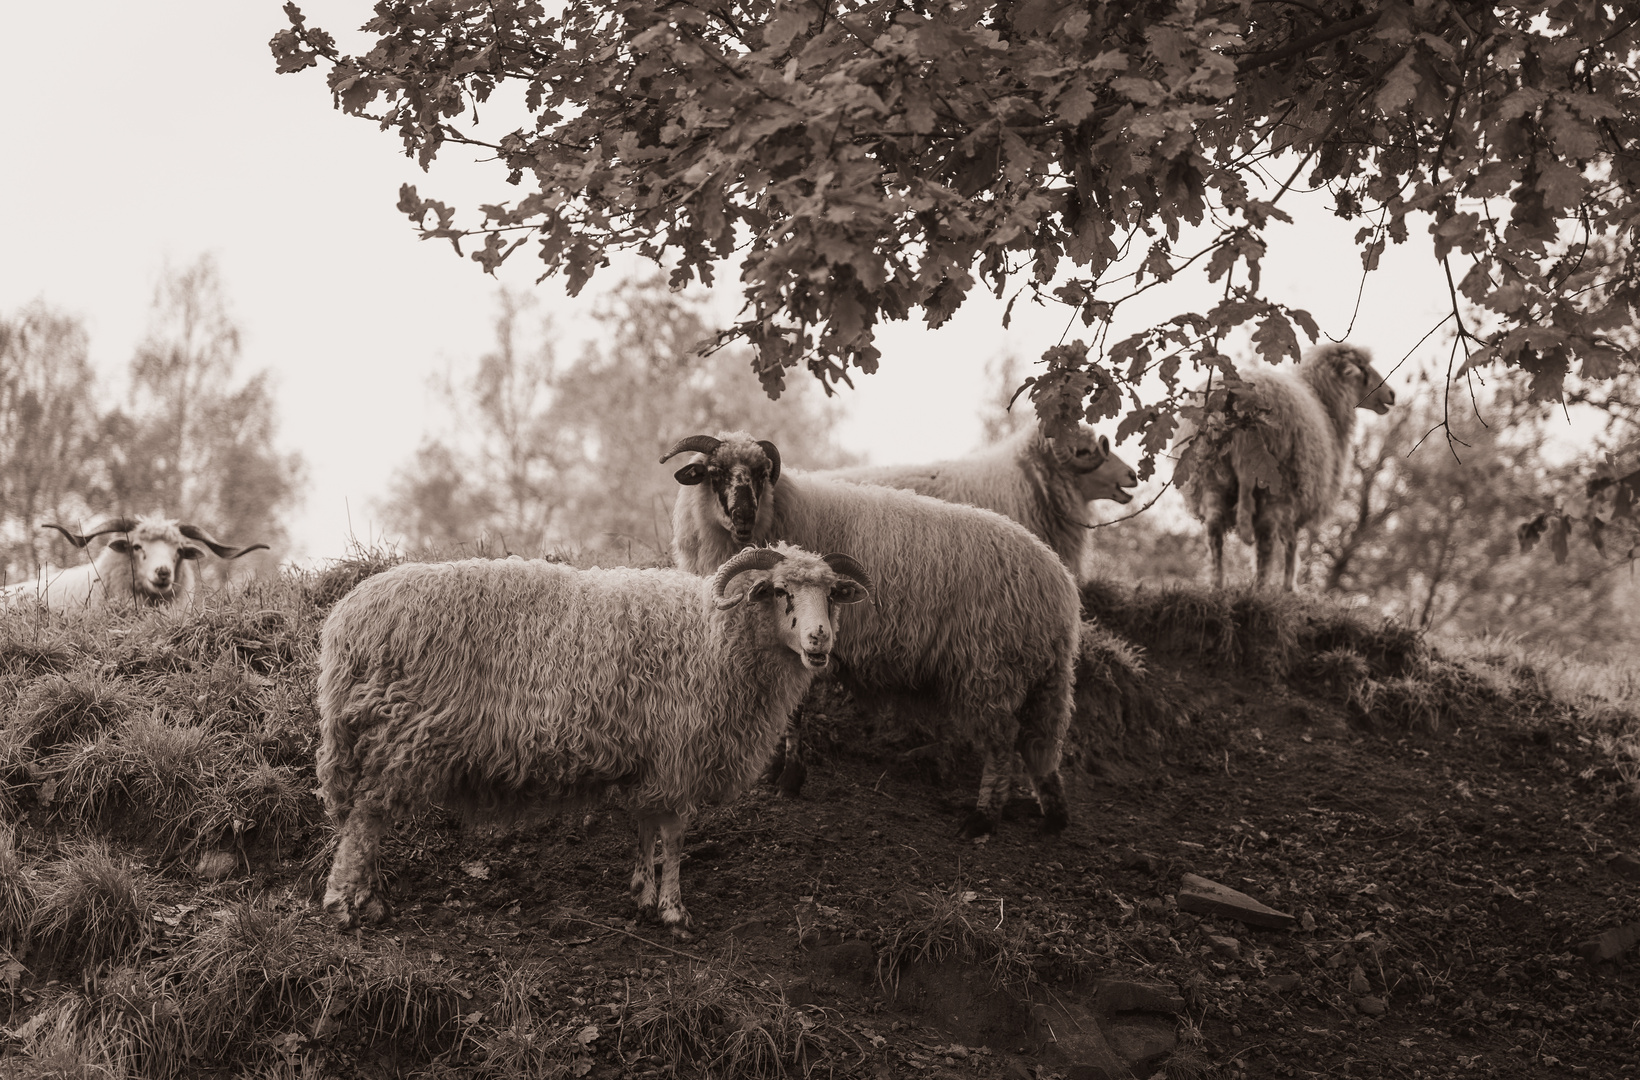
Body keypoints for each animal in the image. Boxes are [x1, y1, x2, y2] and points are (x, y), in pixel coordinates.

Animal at [321, 540, 885, 937]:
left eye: (831, 596)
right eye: (782, 592)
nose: (819, 639)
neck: (718, 638)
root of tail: (345, 620)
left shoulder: (653, 757)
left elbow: (645, 826)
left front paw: (642, 893)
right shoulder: (678, 752)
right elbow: (674, 836)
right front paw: (674, 912)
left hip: (381, 739)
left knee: (366, 820)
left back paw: (368, 899)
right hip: (398, 734)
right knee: (365, 821)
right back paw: (344, 906)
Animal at [659, 429, 1082, 835]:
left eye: (763, 473)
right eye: (714, 473)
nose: (744, 515)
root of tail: (1060, 586)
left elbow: (794, 711)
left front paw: (788, 777)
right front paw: (778, 771)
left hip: (991, 667)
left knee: (1002, 741)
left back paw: (983, 818)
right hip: (1037, 675)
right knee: (1039, 742)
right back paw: (1054, 816)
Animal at [1167, 342, 1397, 589]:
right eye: (1362, 368)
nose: (1392, 394)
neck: (1326, 404)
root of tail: (1240, 407)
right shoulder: (1300, 496)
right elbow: (1291, 542)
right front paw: (1289, 587)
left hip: (1209, 474)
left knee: (1214, 526)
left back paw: (1217, 583)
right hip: (1276, 479)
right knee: (1266, 535)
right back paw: (1261, 585)